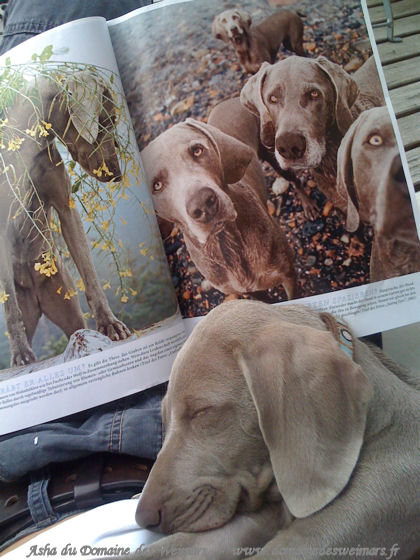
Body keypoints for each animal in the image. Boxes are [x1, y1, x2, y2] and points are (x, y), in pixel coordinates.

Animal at [0, 70, 130, 367]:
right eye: (107, 120)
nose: (118, 174)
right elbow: (11, 307)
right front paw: (21, 353)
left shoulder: (66, 209)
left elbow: (89, 272)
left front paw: (110, 324)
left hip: (65, 303)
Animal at [140, 118, 296, 299]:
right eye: (157, 185)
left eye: (197, 150)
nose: (203, 203)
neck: (228, 243)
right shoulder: (251, 291)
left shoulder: (288, 274)